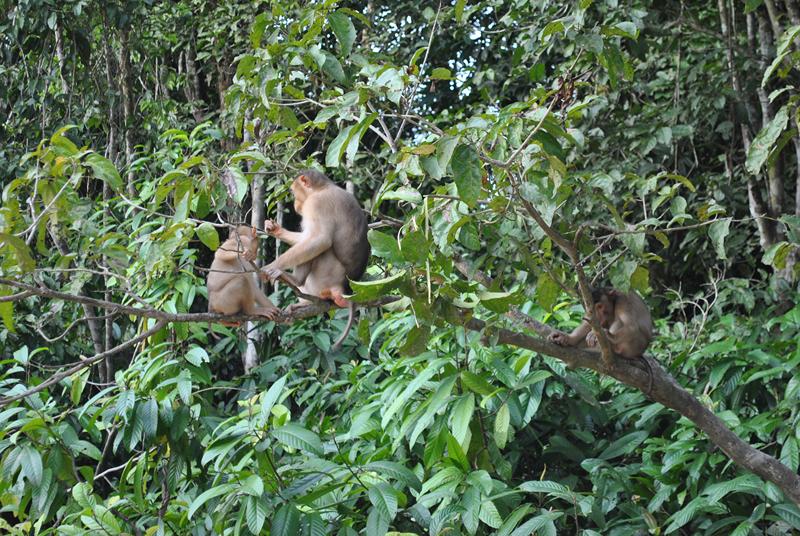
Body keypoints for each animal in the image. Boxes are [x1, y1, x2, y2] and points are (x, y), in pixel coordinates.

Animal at [262, 170, 372, 350]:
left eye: (293, 192)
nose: (295, 204)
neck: (323, 188)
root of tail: (343, 287)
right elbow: (305, 238)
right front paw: (276, 230)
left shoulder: (316, 204)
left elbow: (319, 240)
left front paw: (273, 266)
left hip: (326, 276)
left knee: (320, 250)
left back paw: (295, 279)